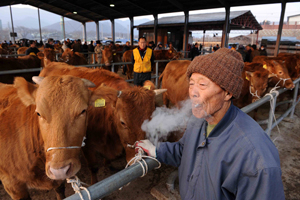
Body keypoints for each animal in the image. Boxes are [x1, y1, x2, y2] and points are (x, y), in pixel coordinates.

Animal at [38, 63, 166, 184]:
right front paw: (94, 182)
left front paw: (107, 163)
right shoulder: (87, 145)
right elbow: (93, 167)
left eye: (151, 119)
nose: (139, 157)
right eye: (123, 122)